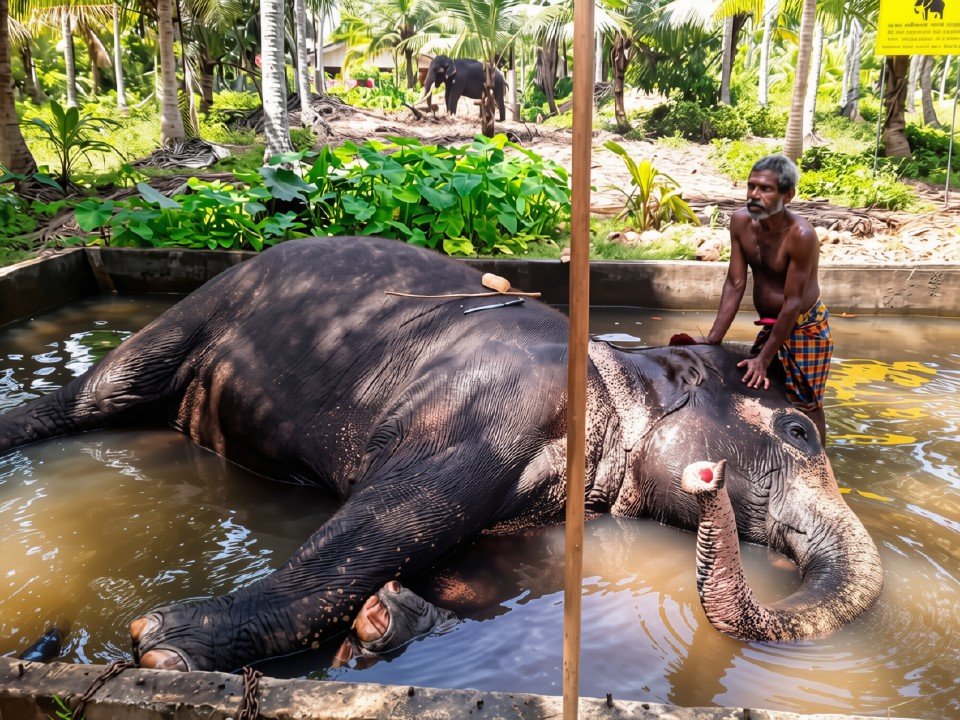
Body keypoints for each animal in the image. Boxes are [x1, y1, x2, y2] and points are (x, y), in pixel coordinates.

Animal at [0, 236, 883, 673]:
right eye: (799, 434)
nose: (712, 484)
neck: (623, 374)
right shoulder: (493, 405)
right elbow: (394, 515)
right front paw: (164, 647)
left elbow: (488, 566)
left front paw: (383, 623)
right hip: (210, 301)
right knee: (108, 388)